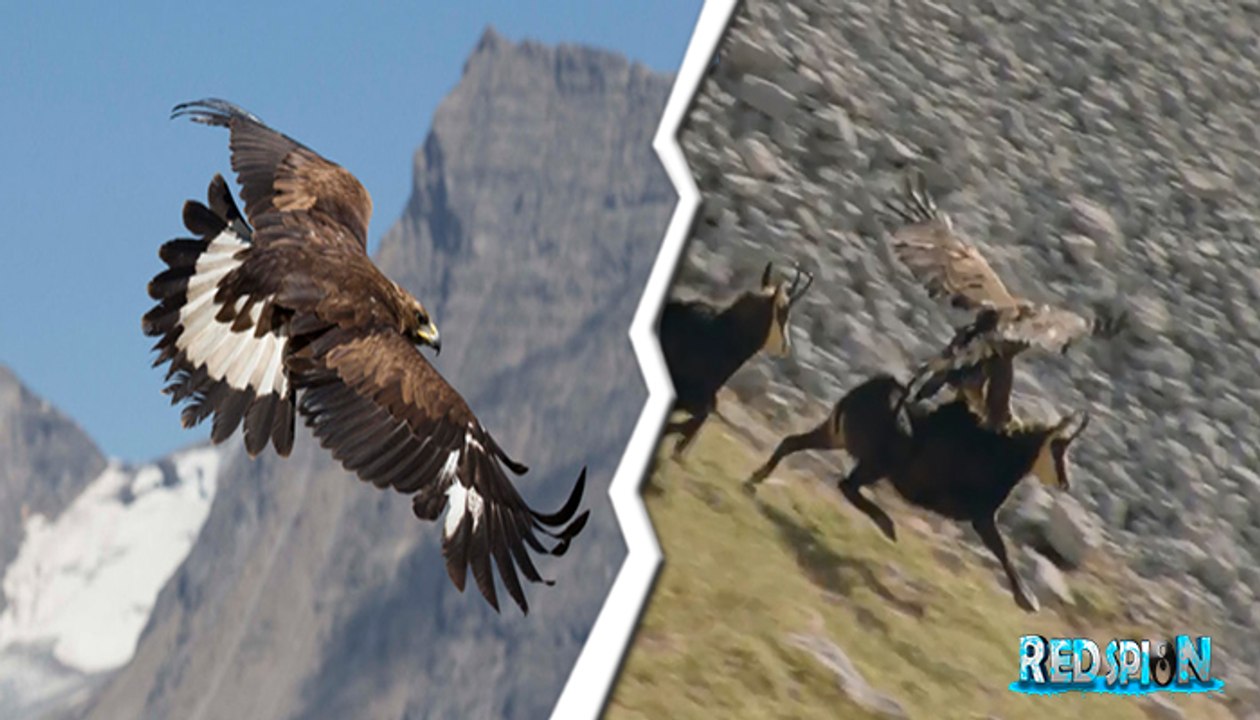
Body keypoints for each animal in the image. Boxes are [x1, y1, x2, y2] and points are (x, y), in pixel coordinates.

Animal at [659, 262, 813, 457]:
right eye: (783, 313)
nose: (786, 347)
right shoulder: (690, 396)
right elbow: (697, 419)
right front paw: (678, 447)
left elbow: (700, 418)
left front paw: (679, 448)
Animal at [746, 374, 1089, 613]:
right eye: (1058, 448)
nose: (1066, 483)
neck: (1001, 455)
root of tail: (862, 394)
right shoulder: (981, 516)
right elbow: (1002, 550)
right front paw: (1027, 599)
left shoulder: (981, 516)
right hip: (879, 461)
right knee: (846, 484)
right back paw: (887, 525)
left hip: (835, 436)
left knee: (793, 443)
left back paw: (755, 479)